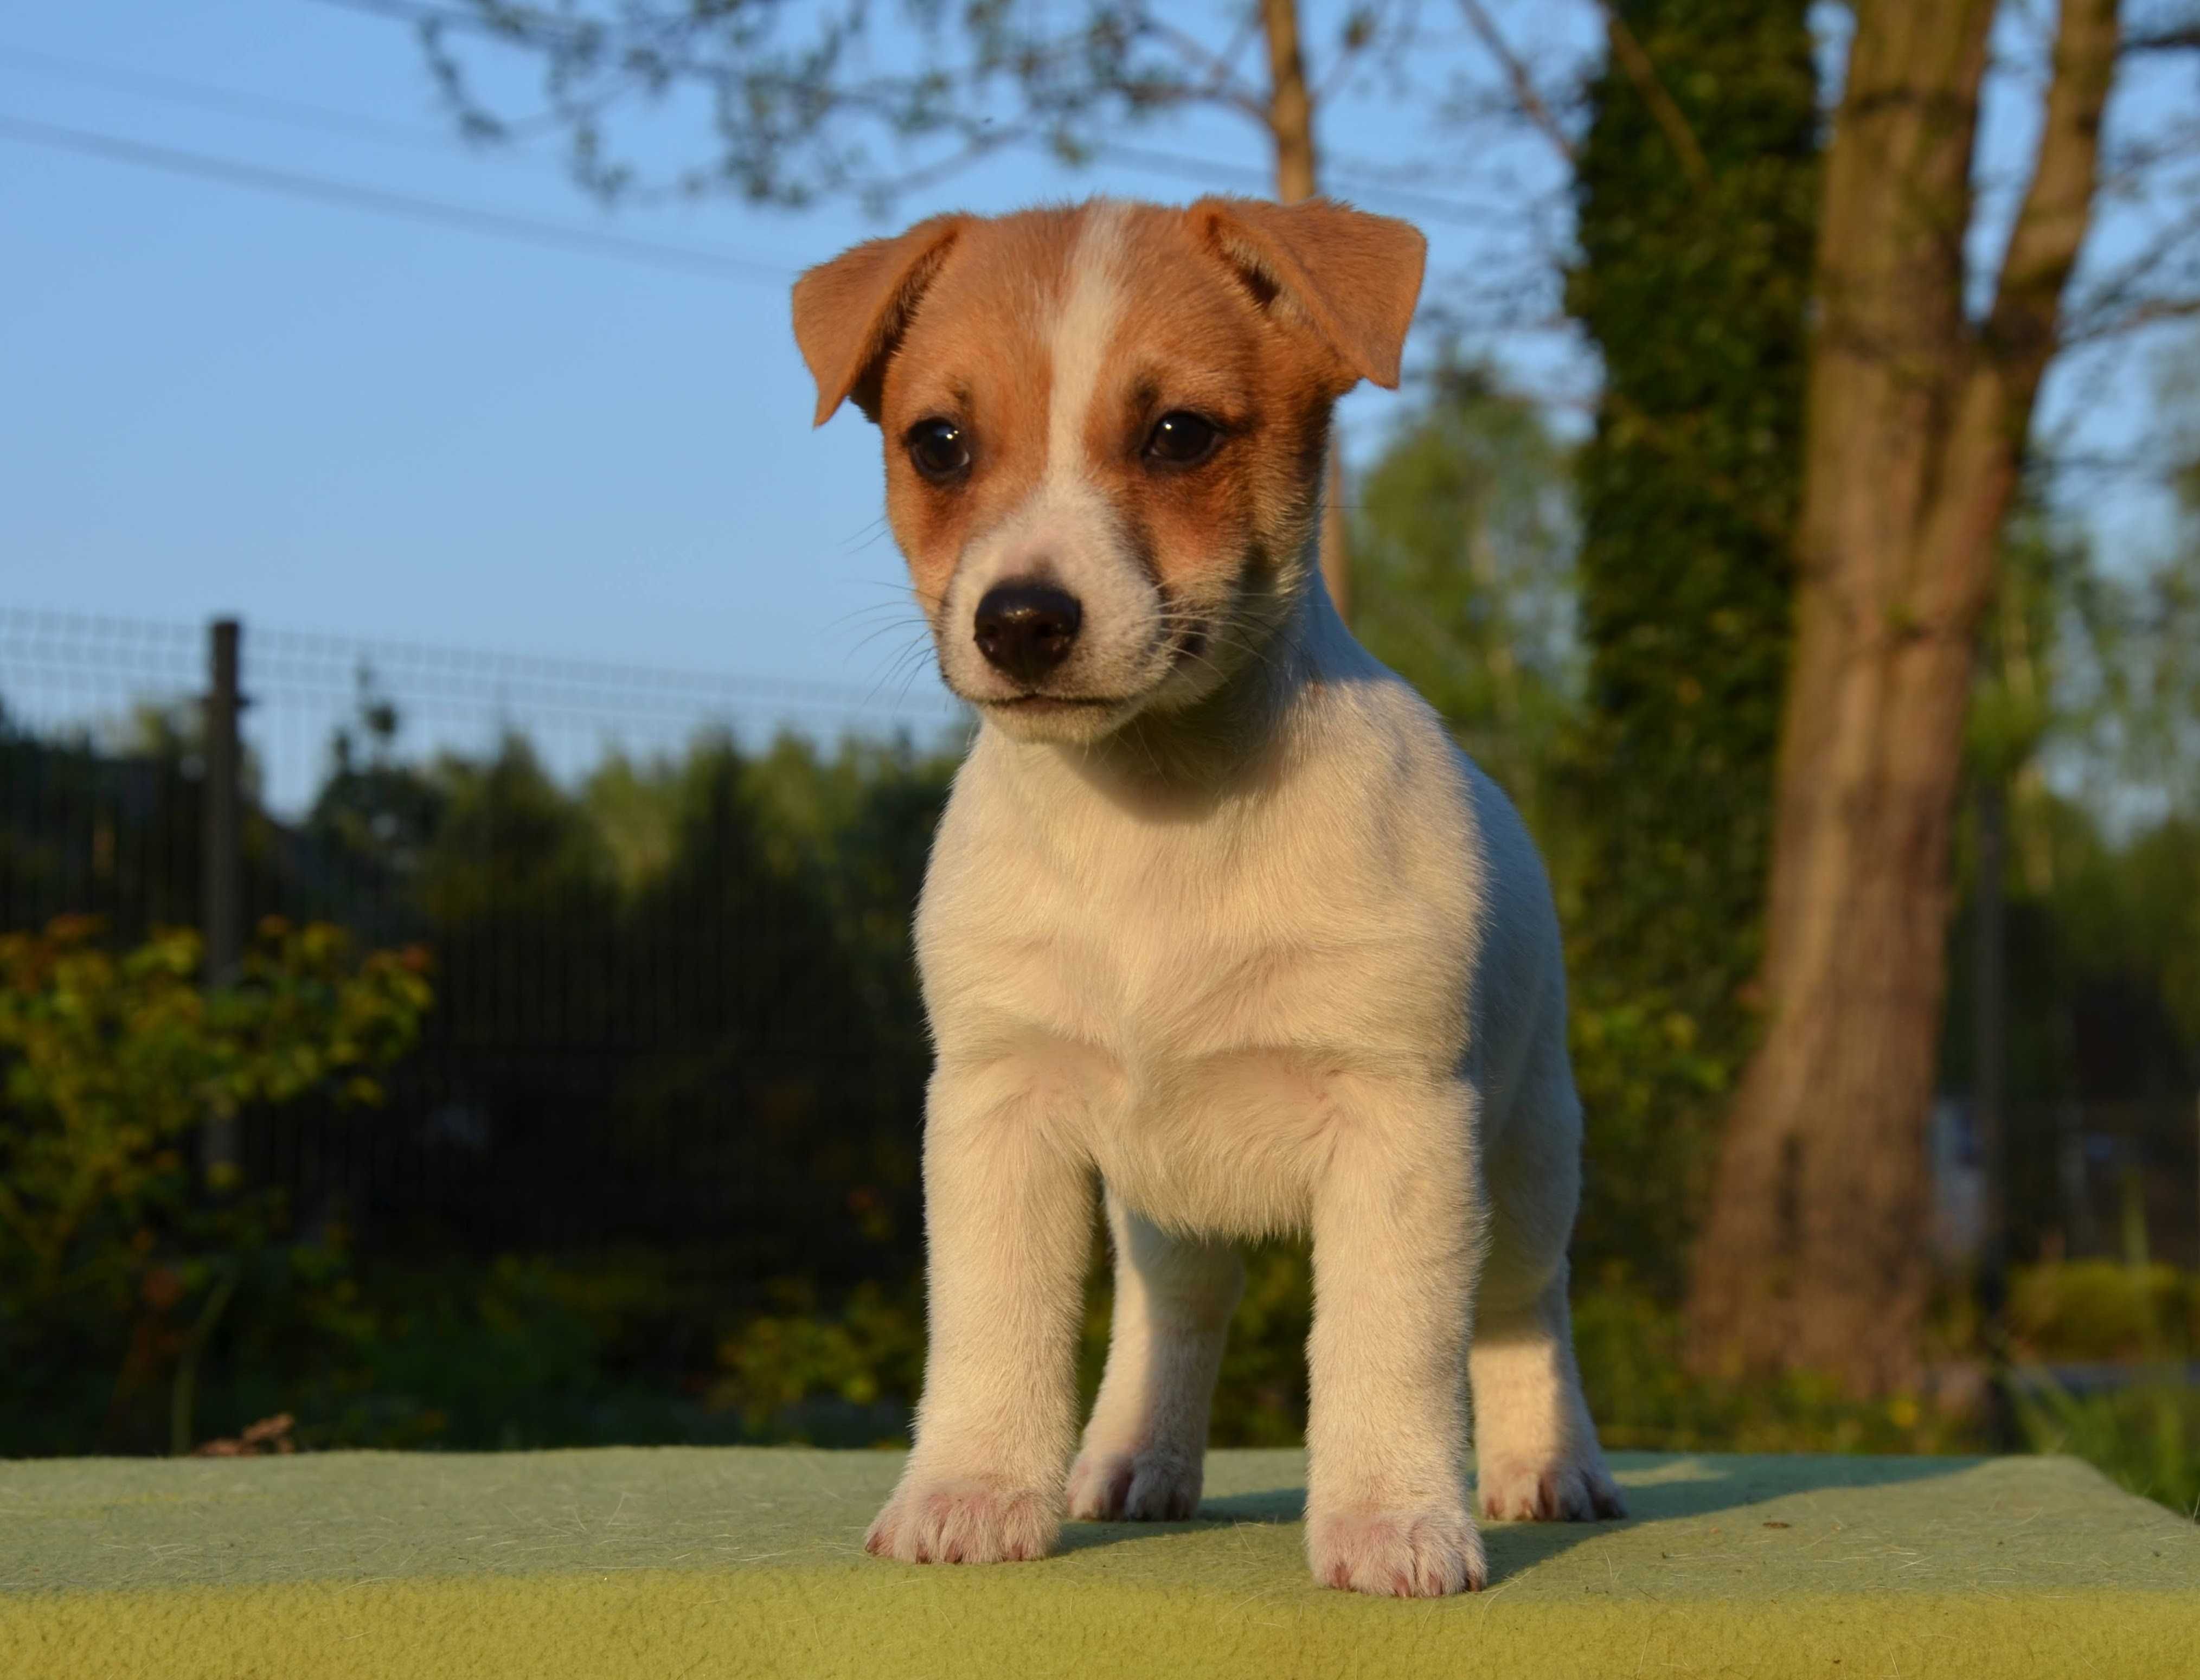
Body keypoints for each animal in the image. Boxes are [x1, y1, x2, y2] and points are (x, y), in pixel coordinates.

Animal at [787, 196, 1619, 1601]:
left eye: (1177, 434)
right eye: (938, 444)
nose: (1020, 620)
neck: (1154, 815)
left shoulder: (1398, 1128)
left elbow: (1382, 1346)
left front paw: (1390, 1518)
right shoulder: (998, 1111)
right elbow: (994, 1326)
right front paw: (971, 1491)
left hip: (1522, 1160)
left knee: (1522, 1311)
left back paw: (1547, 1465)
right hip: (1158, 1206)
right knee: (1173, 1316)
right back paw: (1132, 1460)